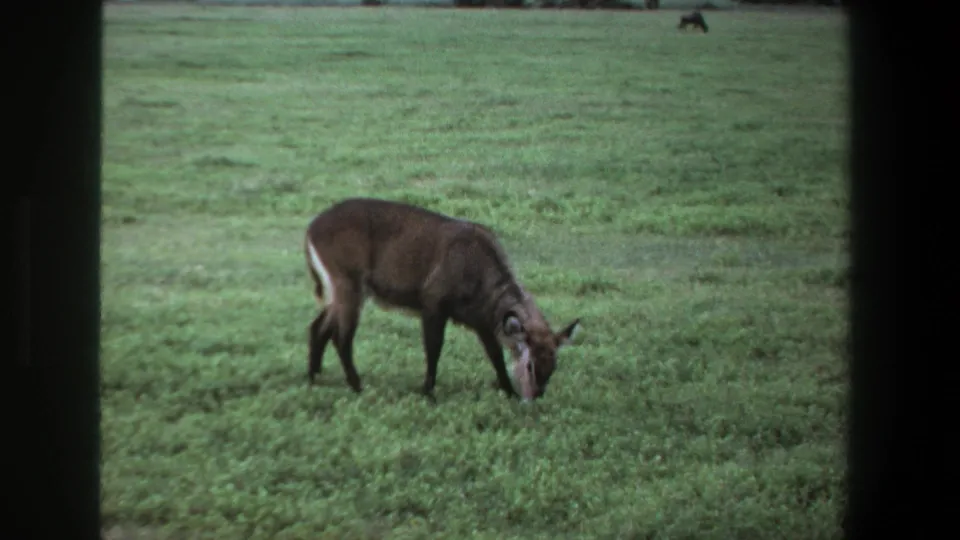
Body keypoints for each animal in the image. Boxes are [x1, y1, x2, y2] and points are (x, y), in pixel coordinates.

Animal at [303, 198, 581, 402]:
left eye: (554, 364)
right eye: (530, 365)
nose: (536, 395)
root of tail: (311, 229)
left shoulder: (483, 321)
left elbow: (496, 357)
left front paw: (508, 391)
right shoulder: (433, 304)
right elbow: (434, 348)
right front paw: (428, 392)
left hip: (340, 291)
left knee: (318, 327)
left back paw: (313, 377)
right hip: (349, 284)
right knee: (341, 337)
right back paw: (356, 385)